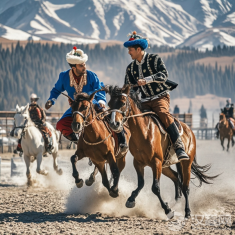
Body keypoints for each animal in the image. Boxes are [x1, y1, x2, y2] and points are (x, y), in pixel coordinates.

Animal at [106, 85, 217, 219]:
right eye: (109, 104)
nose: (113, 124)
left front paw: (168, 210)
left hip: (186, 163)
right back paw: (177, 202)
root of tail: (190, 131)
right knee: (176, 177)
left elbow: (155, 188)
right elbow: (141, 184)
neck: (144, 131)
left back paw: (187, 211)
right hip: (165, 166)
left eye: (122, 103)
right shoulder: (138, 163)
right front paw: (131, 200)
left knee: (185, 187)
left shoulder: (156, 163)